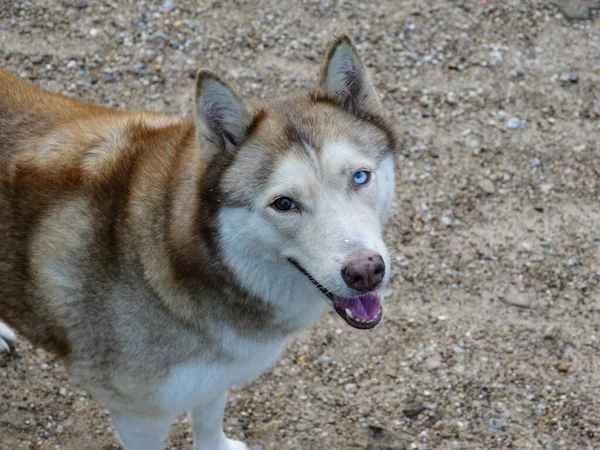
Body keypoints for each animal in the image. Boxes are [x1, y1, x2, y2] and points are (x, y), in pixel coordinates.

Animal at [0, 33, 398, 448]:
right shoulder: (138, 417)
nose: (366, 271)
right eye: (284, 203)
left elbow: (208, 419)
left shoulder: (213, 378)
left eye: (359, 177)